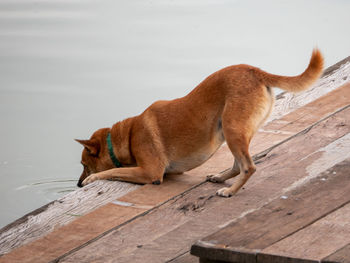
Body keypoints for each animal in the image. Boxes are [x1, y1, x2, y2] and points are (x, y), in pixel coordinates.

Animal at [76, 50, 322, 198]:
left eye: (83, 164)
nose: (77, 184)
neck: (127, 134)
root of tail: (255, 71)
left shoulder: (150, 172)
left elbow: (113, 172)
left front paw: (91, 179)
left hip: (232, 130)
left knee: (248, 167)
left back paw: (230, 191)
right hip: (234, 132)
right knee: (238, 165)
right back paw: (220, 178)